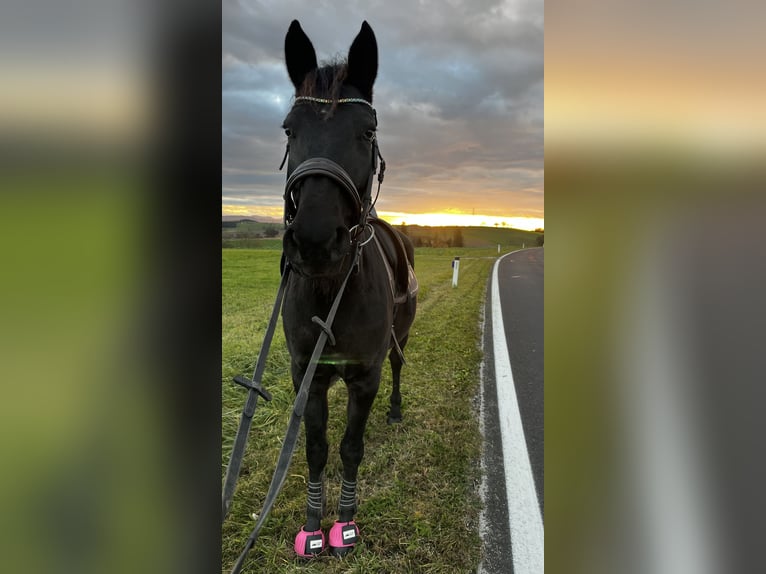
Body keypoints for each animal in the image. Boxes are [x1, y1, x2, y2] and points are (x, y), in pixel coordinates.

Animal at [280, 20, 417, 557]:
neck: (331, 288)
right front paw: (313, 525)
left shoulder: (365, 376)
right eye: (290, 129)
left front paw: (346, 522)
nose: (316, 242)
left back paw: (395, 411)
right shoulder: (308, 376)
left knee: (399, 363)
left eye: (367, 131)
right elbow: (317, 449)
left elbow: (350, 448)